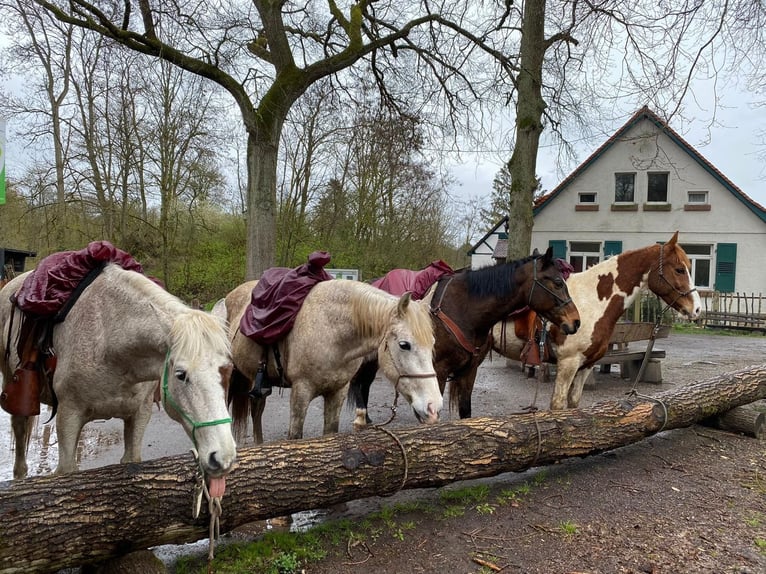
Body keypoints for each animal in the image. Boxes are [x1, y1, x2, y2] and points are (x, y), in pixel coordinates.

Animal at [0, 263, 237, 479]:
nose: (222, 457)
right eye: (181, 374)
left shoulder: (139, 414)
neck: (109, 342)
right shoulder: (68, 416)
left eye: (228, 370)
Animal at [224, 279, 443, 444]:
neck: (331, 330)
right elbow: (295, 437)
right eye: (404, 345)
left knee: (257, 411)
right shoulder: (301, 392)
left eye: (433, 342)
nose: (434, 407)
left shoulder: (338, 392)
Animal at [348, 247, 582, 423]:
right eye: (558, 282)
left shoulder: (470, 371)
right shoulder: (439, 372)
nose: (575, 322)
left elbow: (465, 412)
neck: (464, 311)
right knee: (362, 381)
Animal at [492, 232, 702, 410]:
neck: (591, 301)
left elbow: (574, 404)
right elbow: (558, 406)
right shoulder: (568, 362)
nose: (697, 309)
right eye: (679, 269)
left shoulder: (586, 365)